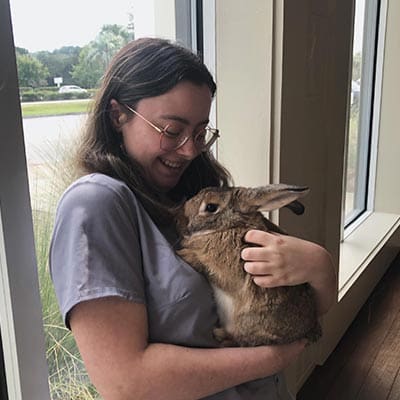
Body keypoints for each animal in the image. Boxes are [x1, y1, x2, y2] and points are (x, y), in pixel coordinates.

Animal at [174, 184, 322, 346]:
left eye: (211, 207)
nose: (179, 220)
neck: (228, 228)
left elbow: (204, 265)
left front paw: (182, 253)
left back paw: (220, 335)